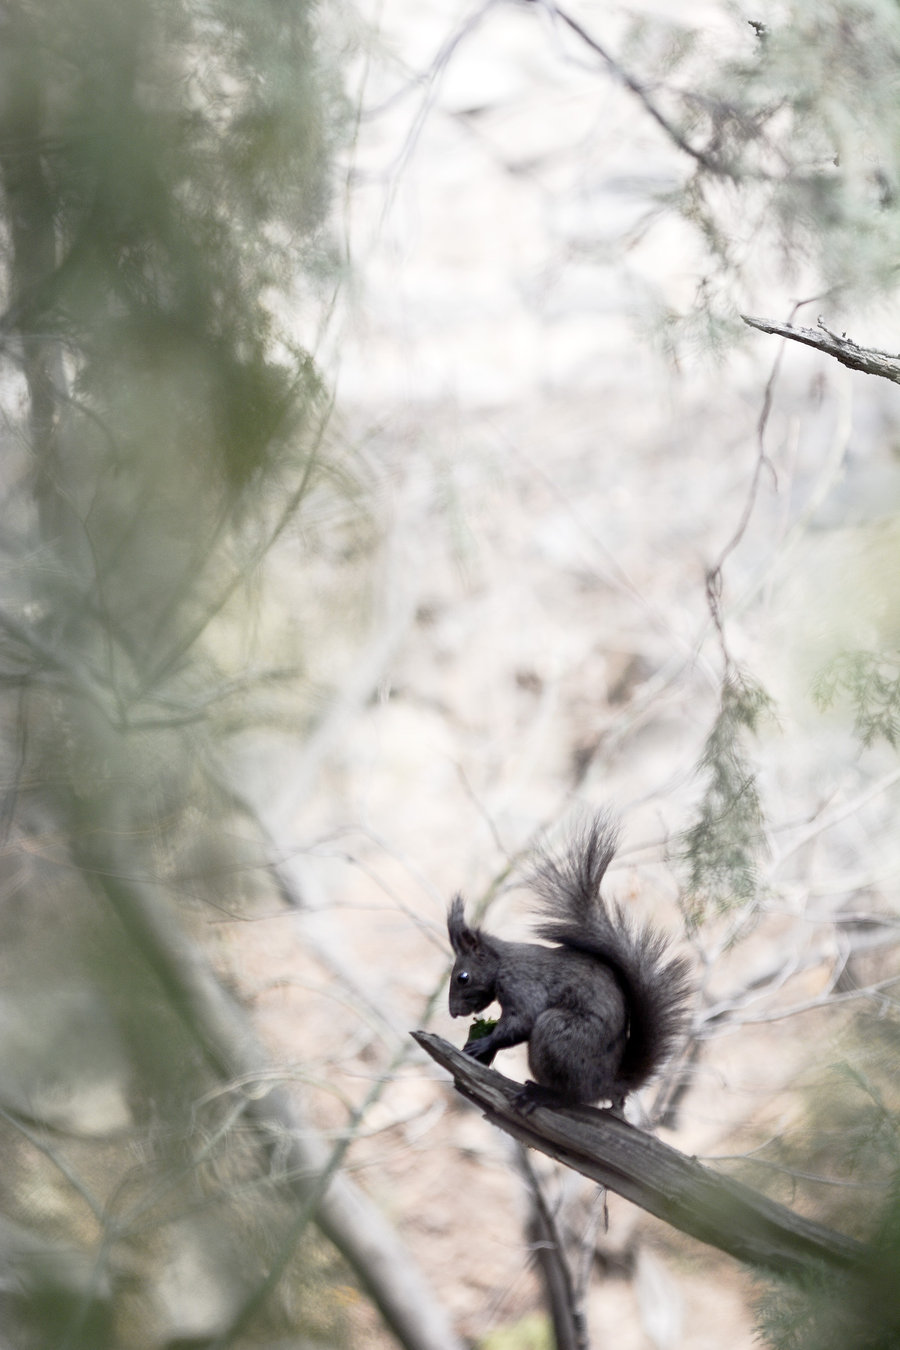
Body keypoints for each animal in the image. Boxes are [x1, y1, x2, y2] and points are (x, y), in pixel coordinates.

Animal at [447, 810, 696, 1107]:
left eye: (463, 977)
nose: (453, 1012)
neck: (502, 964)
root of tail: (605, 1084)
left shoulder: (522, 984)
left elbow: (523, 1020)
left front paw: (483, 1044)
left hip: (557, 1033)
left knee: (570, 1095)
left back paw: (541, 1094)